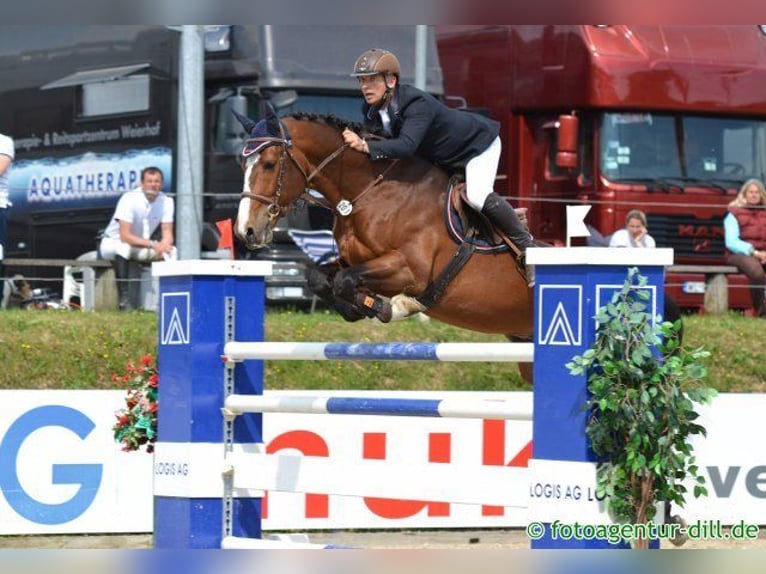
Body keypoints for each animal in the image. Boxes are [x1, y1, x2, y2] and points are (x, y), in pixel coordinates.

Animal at [237, 108, 536, 352]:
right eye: (242, 165)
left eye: (270, 164)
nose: (245, 231)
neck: (372, 192)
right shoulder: (352, 259)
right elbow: (318, 277)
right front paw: (355, 309)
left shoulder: (412, 270)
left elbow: (345, 280)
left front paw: (389, 307)